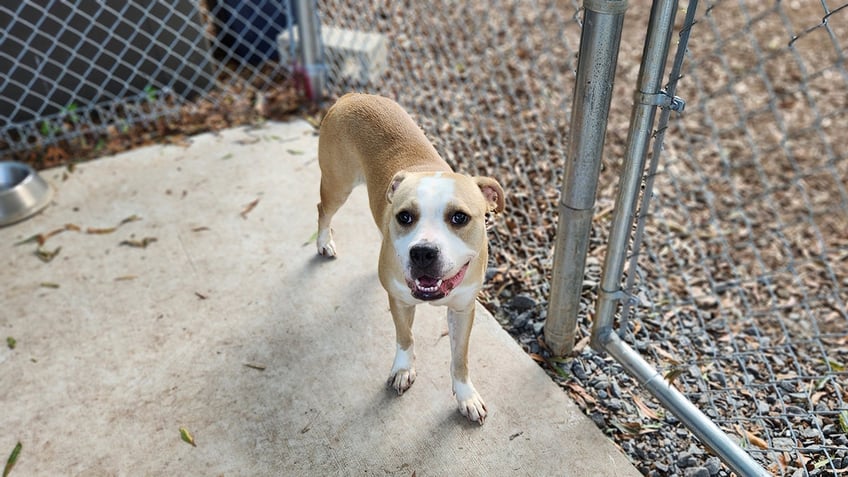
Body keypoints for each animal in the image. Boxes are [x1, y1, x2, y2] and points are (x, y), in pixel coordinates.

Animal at [316, 93, 504, 424]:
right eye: (405, 216)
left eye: (459, 217)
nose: (423, 252)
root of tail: (352, 96)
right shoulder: (400, 301)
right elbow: (405, 337)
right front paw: (403, 370)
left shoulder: (462, 310)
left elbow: (460, 358)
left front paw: (465, 395)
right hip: (338, 185)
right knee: (323, 210)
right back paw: (324, 241)